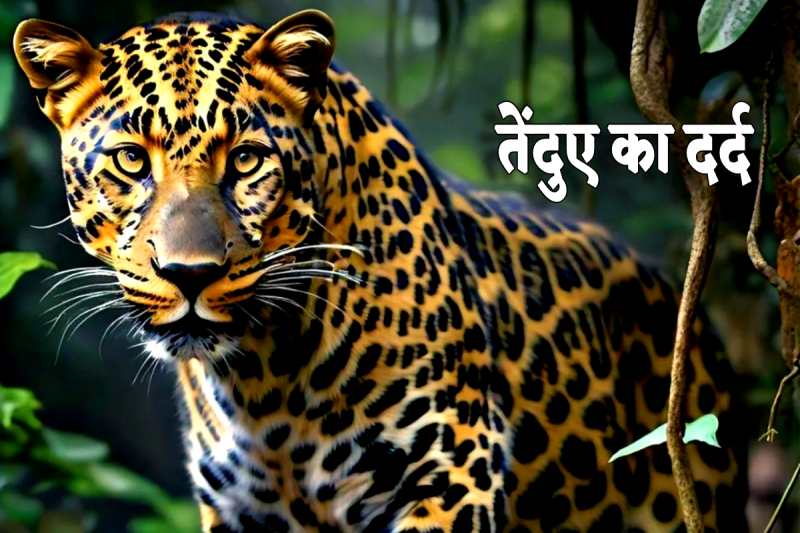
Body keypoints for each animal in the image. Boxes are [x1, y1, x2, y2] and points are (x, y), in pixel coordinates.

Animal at [12, 8, 748, 533]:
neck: (263, 378)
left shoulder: (452, 471)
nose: (188, 274)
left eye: (246, 160)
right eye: (132, 160)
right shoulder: (245, 512)